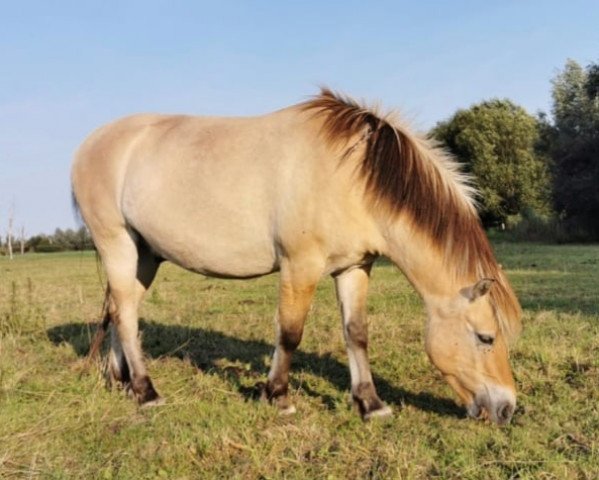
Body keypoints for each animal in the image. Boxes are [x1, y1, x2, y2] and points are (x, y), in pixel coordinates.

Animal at [70, 89, 524, 424]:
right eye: (486, 337)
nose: (506, 409)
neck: (353, 176)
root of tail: (92, 143)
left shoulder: (354, 267)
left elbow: (356, 333)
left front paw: (371, 404)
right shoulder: (300, 266)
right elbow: (289, 333)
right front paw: (278, 396)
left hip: (144, 255)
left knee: (120, 308)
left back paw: (120, 380)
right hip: (116, 243)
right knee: (126, 312)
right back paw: (146, 391)